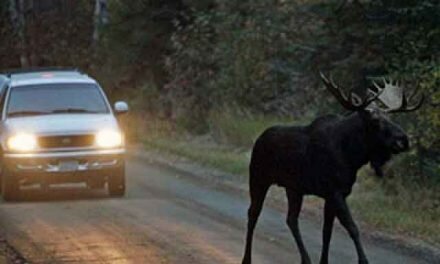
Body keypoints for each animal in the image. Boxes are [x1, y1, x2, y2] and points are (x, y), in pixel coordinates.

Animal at [242, 73, 424, 264]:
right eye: (375, 121)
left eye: (391, 118)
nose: (403, 140)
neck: (352, 155)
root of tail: (259, 139)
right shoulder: (335, 192)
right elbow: (352, 227)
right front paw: (363, 260)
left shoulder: (333, 195)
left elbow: (327, 232)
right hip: (258, 178)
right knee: (253, 214)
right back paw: (247, 258)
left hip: (293, 189)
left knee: (291, 219)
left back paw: (306, 259)